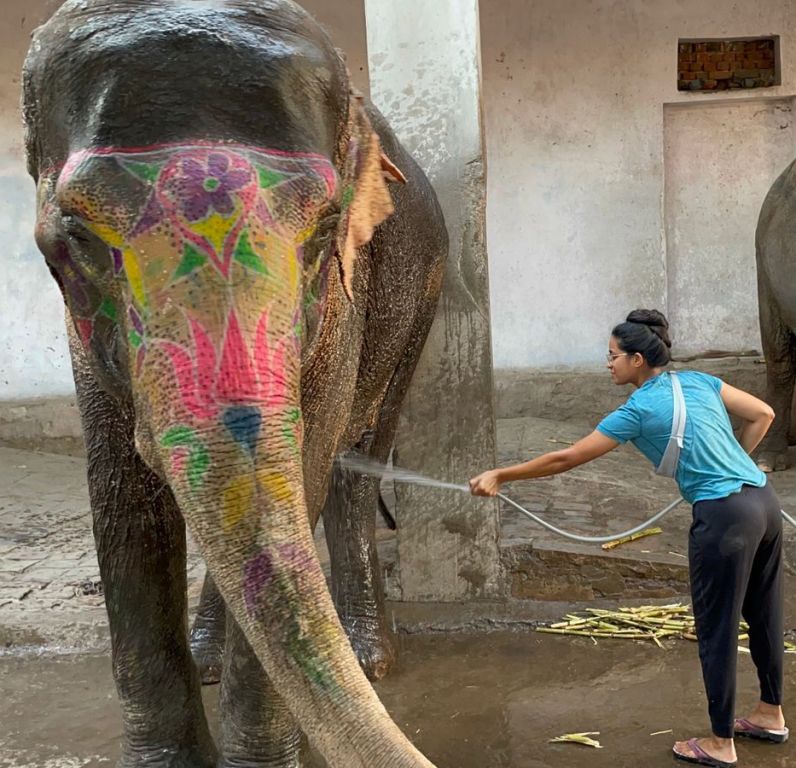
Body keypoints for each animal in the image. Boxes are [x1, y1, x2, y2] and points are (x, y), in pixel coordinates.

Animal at [23, 1, 448, 767]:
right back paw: (210, 659)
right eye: (76, 234)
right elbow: (123, 497)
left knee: (355, 465)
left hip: (418, 300)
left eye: (327, 228)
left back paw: (370, 659)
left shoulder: (341, 303)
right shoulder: (81, 329)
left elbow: (306, 464)